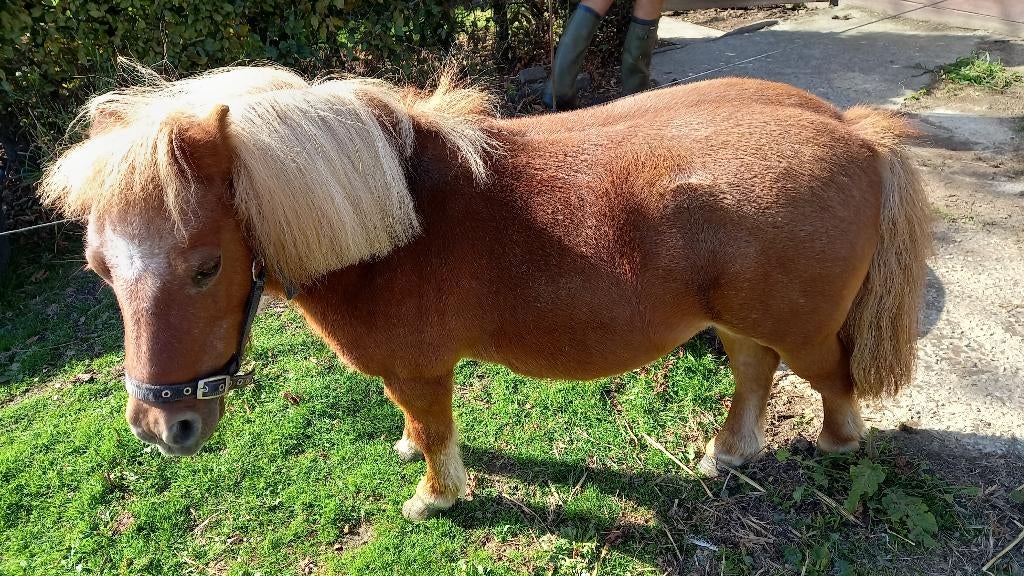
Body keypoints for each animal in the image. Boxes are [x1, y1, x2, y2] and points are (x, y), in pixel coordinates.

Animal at [40, 63, 931, 521]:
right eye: (99, 268)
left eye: (204, 267)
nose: (163, 428)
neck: (399, 220)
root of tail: (854, 130)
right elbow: (412, 424)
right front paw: (408, 453)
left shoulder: (423, 370)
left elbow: (436, 432)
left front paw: (433, 498)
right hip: (737, 320)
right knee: (752, 374)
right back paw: (727, 452)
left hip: (802, 329)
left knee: (829, 380)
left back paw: (835, 445)